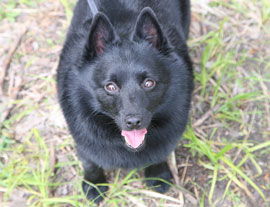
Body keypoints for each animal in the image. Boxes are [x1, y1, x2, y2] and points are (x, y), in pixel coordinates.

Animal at [57, 0, 193, 204]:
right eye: (110, 86)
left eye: (148, 83)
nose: (134, 122)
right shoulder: (84, 139)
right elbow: (90, 162)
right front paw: (94, 184)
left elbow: (160, 153)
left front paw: (158, 174)